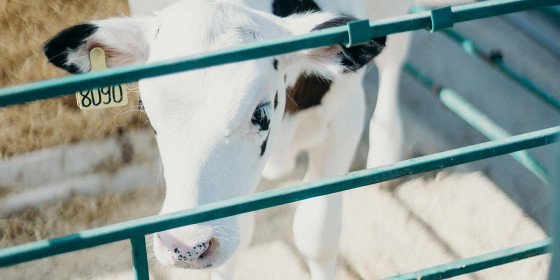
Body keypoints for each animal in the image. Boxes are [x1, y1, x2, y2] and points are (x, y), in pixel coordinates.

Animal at [42, 0, 412, 278]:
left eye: (260, 113)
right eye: (147, 110)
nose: (186, 247)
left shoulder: (344, 122)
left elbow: (316, 236)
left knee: (396, 55)